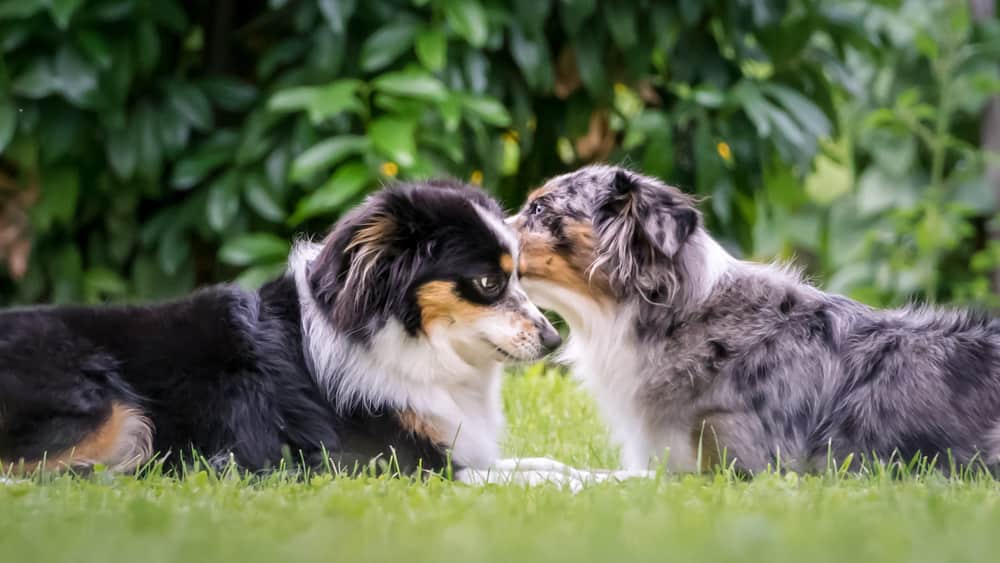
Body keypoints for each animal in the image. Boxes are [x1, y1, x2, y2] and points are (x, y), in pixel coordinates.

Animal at [0, 182, 572, 480]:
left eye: (520, 276)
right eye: (488, 282)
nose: (554, 341)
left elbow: (543, 463)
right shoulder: (384, 463)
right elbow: (518, 478)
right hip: (112, 413)